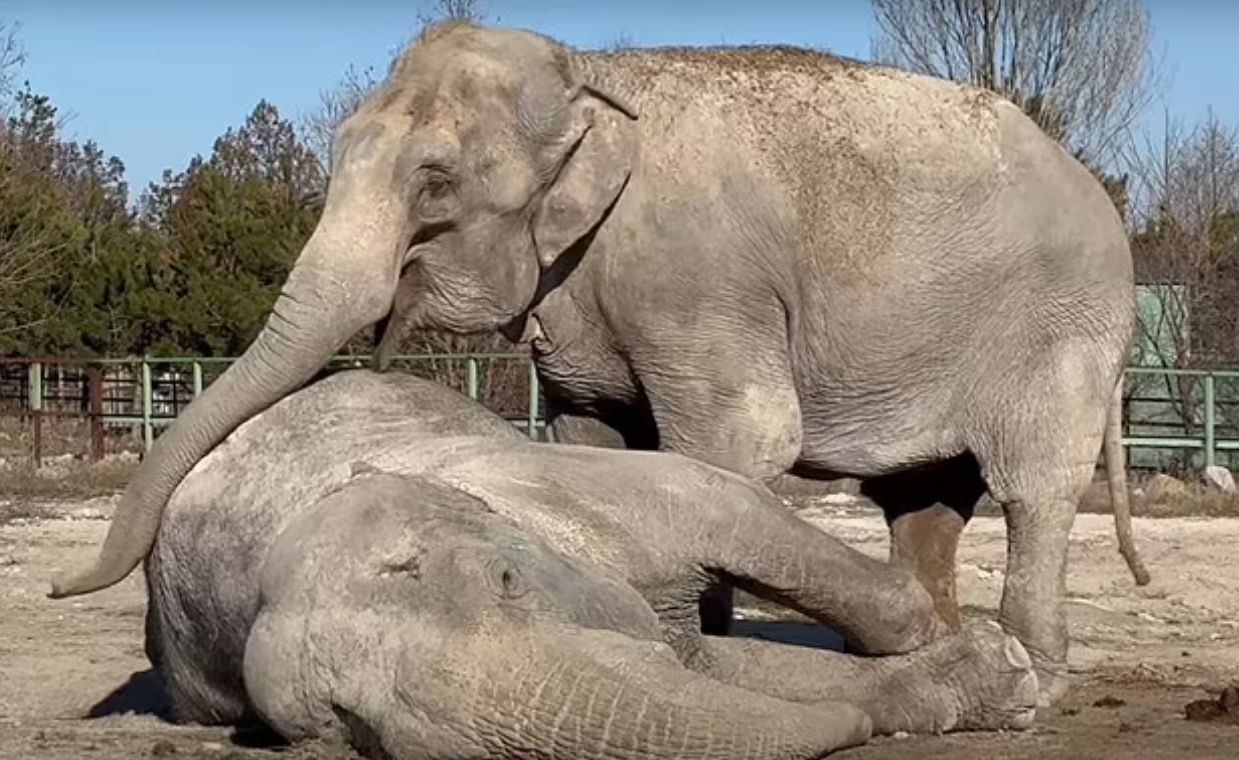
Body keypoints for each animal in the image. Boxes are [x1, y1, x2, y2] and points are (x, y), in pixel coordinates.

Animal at [55, 19, 1139, 704]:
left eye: (435, 181)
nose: (66, 591)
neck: (590, 65)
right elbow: (592, 429)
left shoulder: (695, 273)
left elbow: (741, 437)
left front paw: (692, 640)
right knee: (921, 502)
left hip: (1060, 330)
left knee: (1033, 487)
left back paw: (1038, 678)